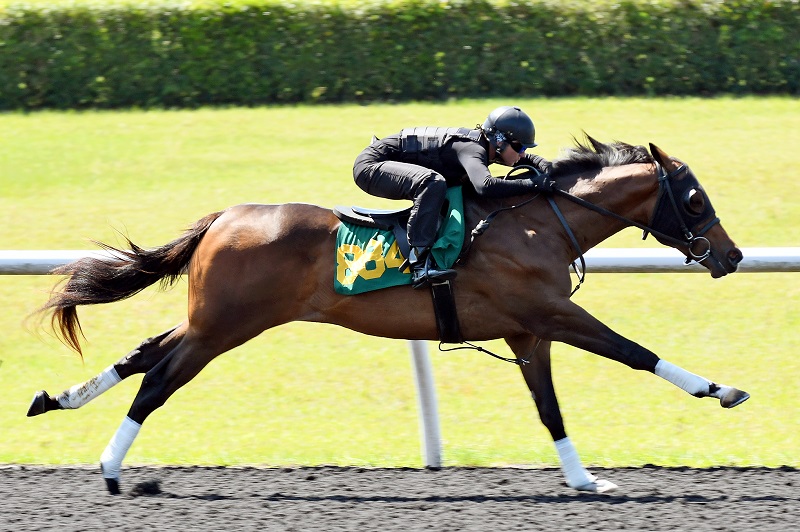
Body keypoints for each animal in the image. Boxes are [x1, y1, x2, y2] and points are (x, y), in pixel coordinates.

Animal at [26, 136, 752, 494]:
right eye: (693, 198)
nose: (732, 255)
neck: (536, 225)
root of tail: (222, 219)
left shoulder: (528, 332)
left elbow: (549, 409)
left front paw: (582, 479)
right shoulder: (549, 314)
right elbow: (634, 351)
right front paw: (721, 389)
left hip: (213, 319)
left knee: (143, 353)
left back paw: (55, 400)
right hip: (224, 327)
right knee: (157, 379)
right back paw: (111, 467)